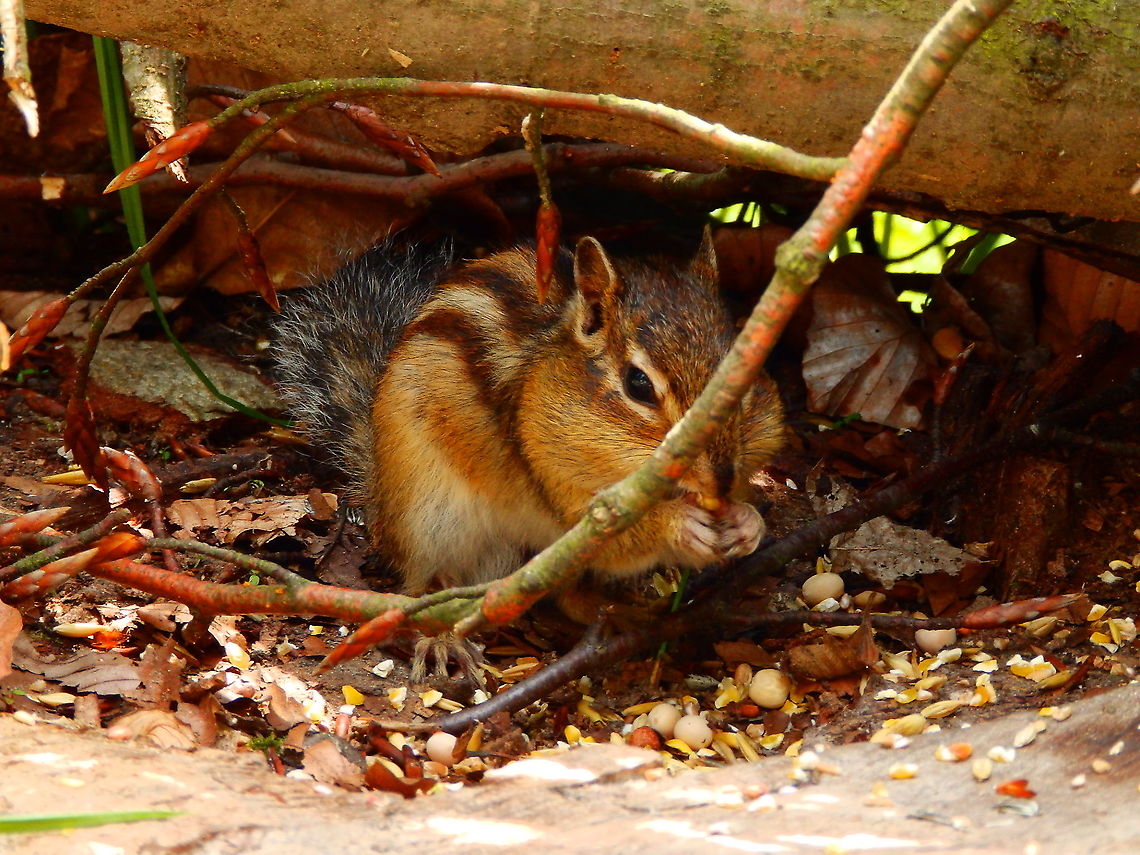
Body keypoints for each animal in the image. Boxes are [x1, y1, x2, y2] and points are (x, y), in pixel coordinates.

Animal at [272, 230, 784, 600]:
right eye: (638, 385)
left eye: (746, 365)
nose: (718, 480)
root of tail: (378, 487)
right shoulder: (555, 484)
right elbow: (611, 536)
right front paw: (679, 524)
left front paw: (747, 521)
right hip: (427, 516)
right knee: (420, 578)